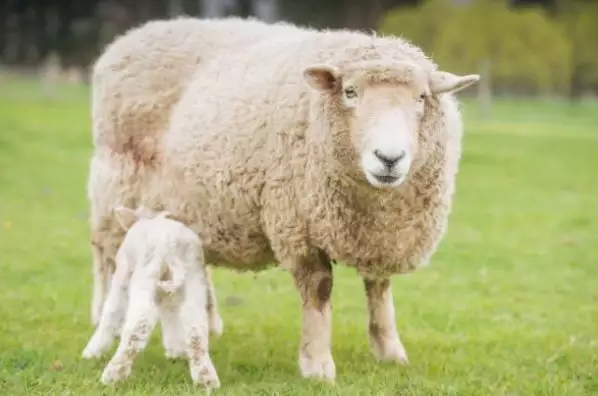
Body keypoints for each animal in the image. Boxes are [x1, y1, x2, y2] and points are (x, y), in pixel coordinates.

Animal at [81, 207, 219, 390]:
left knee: (139, 323)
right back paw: (207, 379)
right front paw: (176, 350)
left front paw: (92, 351)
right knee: (195, 328)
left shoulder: (123, 271)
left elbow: (111, 310)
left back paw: (113, 374)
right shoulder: (168, 291)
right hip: (192, 277)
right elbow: (170, 313)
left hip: (146, 274)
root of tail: (169, 246)